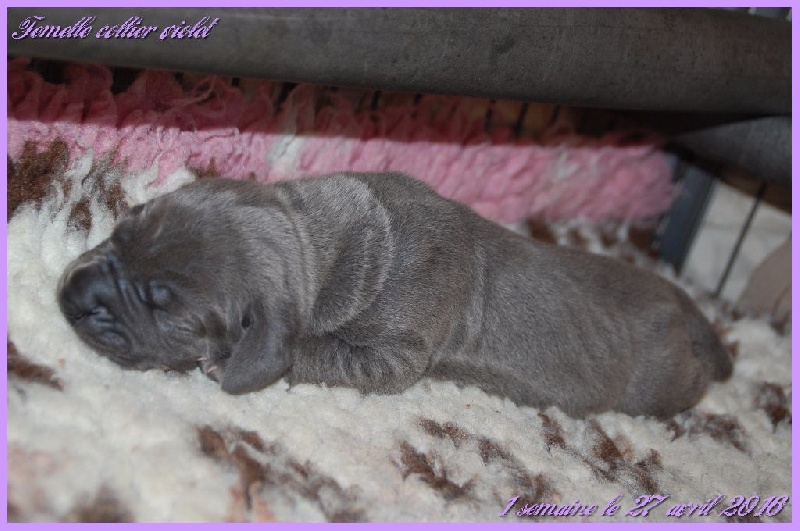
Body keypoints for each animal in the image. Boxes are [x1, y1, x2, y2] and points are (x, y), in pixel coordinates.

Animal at [58, 172, 732, 418]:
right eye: (121, 233)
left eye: (161, 302)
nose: (75, 293)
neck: (320, 242)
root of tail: (686, 305)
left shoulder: (396, 351)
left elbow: (325, 352)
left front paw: (225, 361)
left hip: (665, 382)